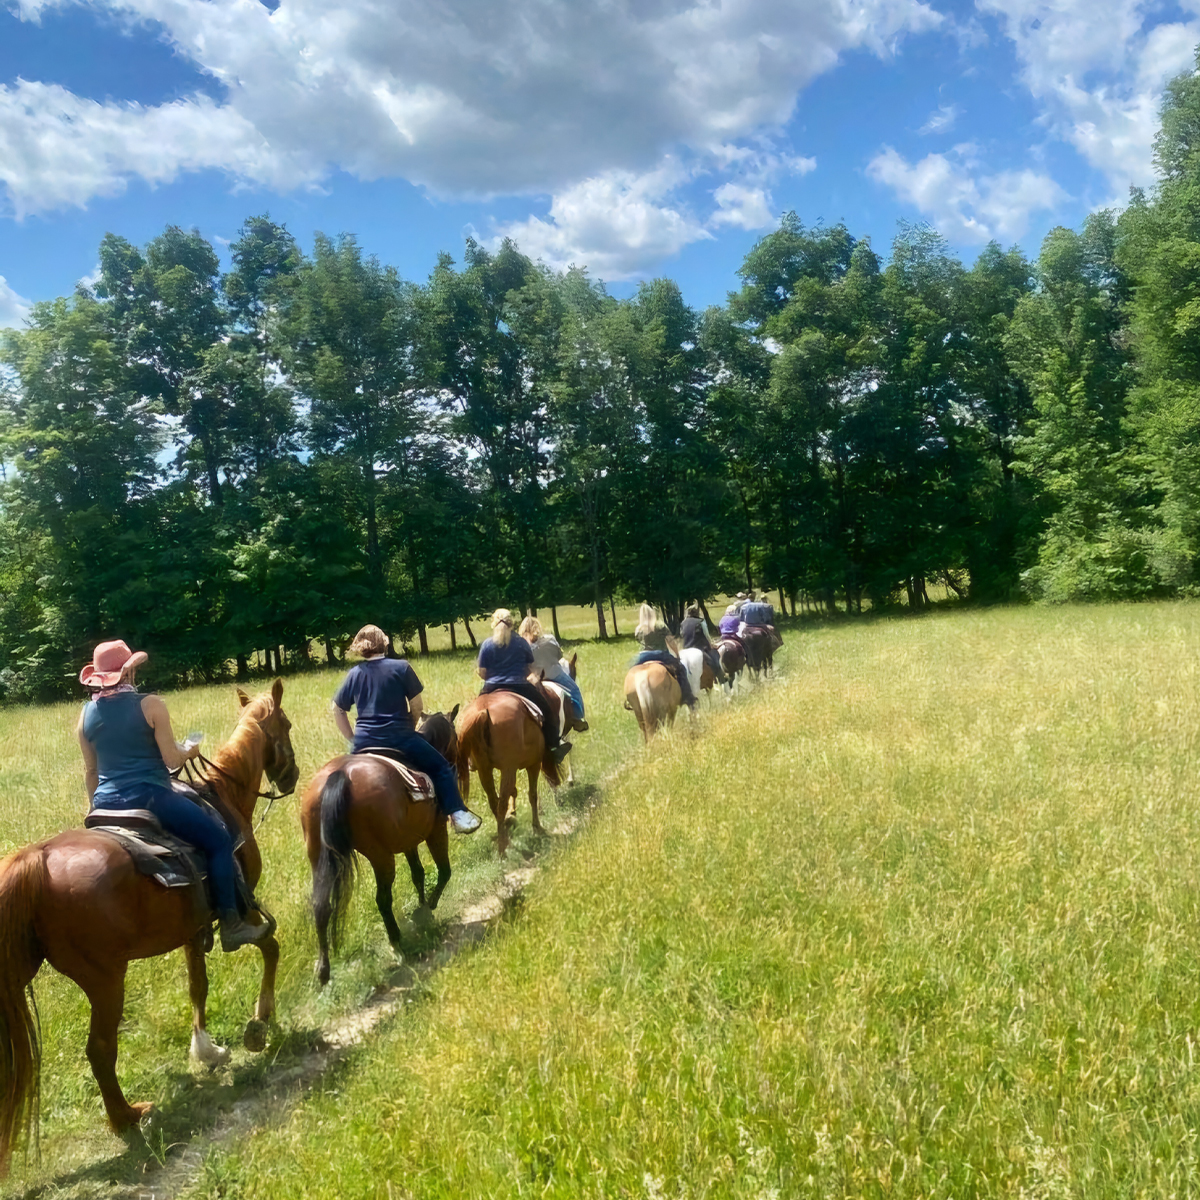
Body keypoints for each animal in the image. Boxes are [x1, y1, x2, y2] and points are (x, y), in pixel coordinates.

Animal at [0, 681, 298, 1176]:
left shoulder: (192, 927)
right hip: (105, 979)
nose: (292, 776)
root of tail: (36, 859)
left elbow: (198, 985)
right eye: (287, 725)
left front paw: (207, 1050)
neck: (224, 794)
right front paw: (260, 1022)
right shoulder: (242, 906)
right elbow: (269, 946)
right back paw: (127, 1117)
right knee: (100, 1049)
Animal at [302, 705, 460, 979]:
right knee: (383, 899)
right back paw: (397, 944)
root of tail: (340, 776)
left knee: (320, 904)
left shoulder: (408, 840)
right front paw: (429, 906)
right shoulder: (435, 830)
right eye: (457, 736)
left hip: (318, 854)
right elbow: (443, 871)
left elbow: (418, 874)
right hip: (380, 855)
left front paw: (422, 909)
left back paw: (323, 969)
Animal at [456, 681, 564, 859]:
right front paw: (537, 827)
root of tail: (482, 712)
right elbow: (532, 795)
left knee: (495, 803)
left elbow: (514, 792)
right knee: (501, 804)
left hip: (485, 771)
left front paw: (512, 816)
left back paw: (505, 838)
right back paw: (503, 848)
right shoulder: (533, 764)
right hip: (508, 769)